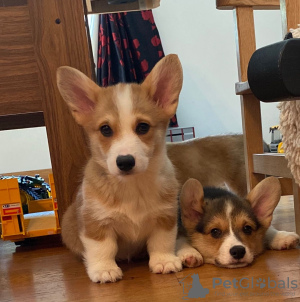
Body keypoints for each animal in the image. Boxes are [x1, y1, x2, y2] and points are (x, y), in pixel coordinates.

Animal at [56, 54, 183, 284]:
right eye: (105, 129)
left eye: (143, 127)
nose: (125, 162)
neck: (132, 186)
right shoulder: (96, 222)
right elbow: (102, 248)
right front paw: (104, 270)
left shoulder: (165, 217)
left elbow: (162, 241)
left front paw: (164, 261)